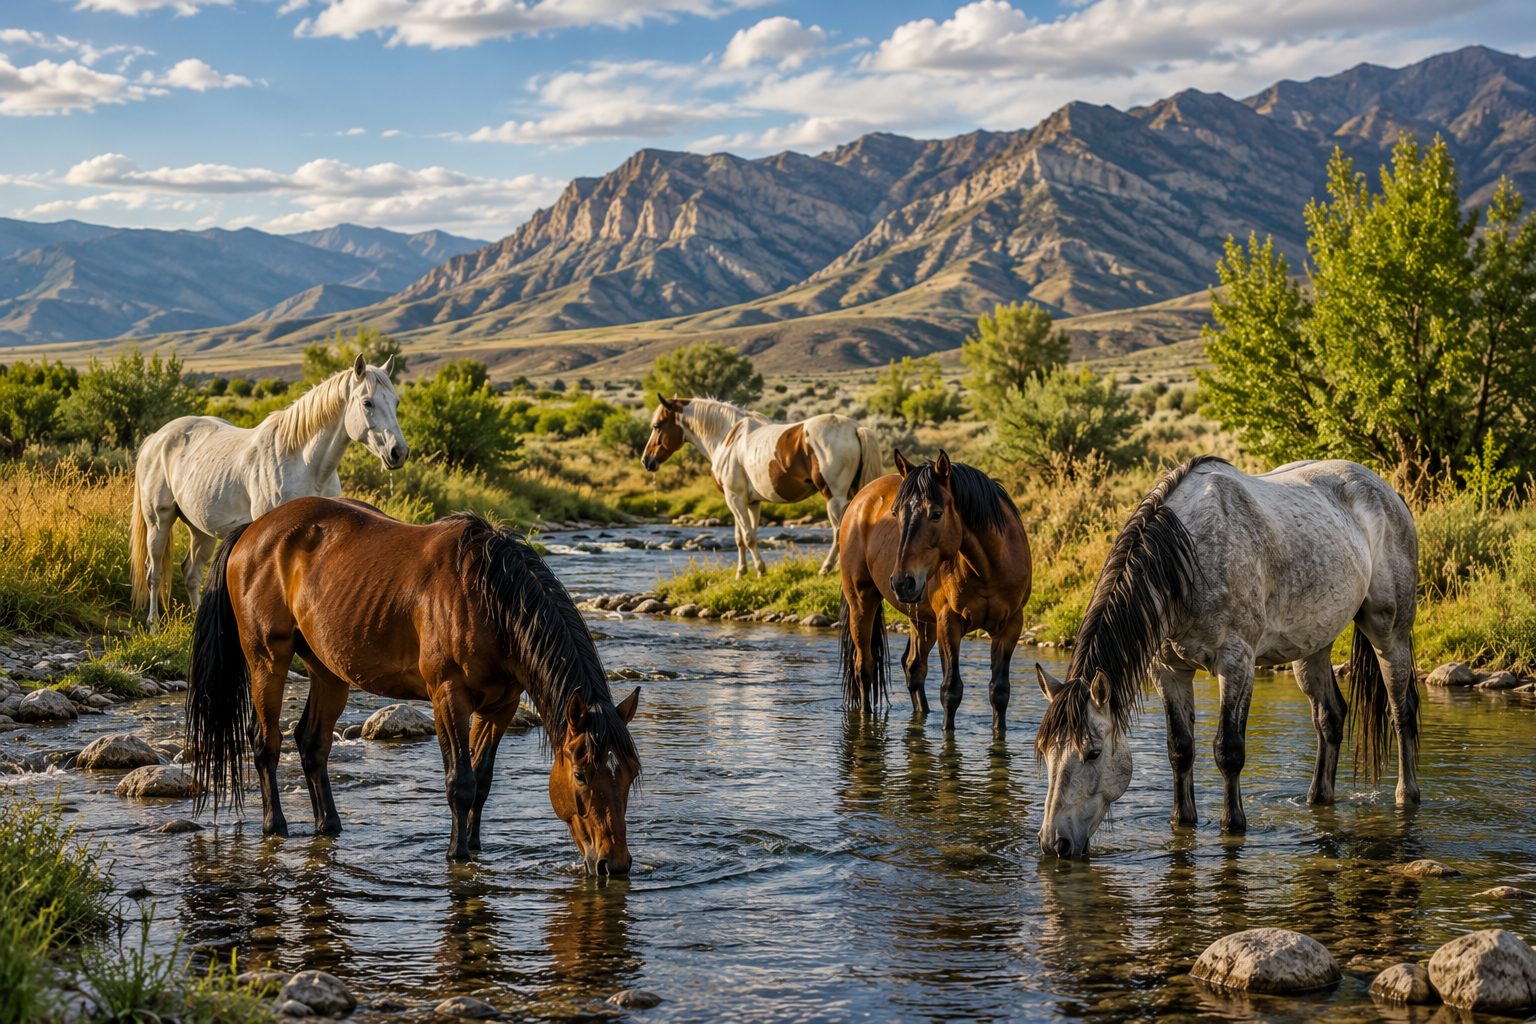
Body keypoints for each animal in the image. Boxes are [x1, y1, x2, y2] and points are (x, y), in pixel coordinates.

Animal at [131, 356, 409, 627]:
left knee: (191, 573)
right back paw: (153, 625)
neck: (303, 463)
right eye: (367, 402)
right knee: (154, 572)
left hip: (200, 529)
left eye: (396, 402)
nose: (399, 453)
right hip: (159, 522)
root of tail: (157, 437)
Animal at [185, 496, 643, 869]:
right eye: (581, 775)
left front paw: (476, 847)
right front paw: (457, 854)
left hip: (328, 671)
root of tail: (253, 529)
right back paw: (275, 826)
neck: (489, 597)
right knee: (266, 743)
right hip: (267, 660)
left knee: (312, 743)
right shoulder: (448, 696)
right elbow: (460, 782)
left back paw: (328, 825)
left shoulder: (502, 705)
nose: (614, 863)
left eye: (631, 773)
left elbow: (482, 782)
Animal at [641, 396, 883, 577]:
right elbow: (743, 537)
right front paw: (742, 572)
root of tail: (855, 428)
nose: (646, 460)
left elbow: (748, 537)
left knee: (839, 531)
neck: (728, 437)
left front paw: (760, 569)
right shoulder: (748, 501)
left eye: (657, 426)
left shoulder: (734, 498)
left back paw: (826, 569)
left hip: (834, 497)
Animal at [838, 450, 1033, 733]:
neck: (989, 569)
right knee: (865, 668)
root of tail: (859, 500)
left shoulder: (1010, 627)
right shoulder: (949, 624)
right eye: (895, 513)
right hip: (862, 604)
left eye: (937, 514)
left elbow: (999, 692)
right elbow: (951, 691)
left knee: (913, 668)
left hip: (921, 618)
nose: (901, 582)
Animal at [1033, 456, 1419, 857]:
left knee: (1400, 711)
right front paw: (1182, 821)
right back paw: (1317, 799)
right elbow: (1179, 748)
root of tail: (1389, 493)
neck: (1188, 560)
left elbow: (1228, 750)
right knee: (1330, 717)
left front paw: (1232, 825)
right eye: (1045, 752)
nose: (1053, 842)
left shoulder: (1236, 663)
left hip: (1388, 633)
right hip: (1312, 648)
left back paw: (1406, 795)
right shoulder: (1168, 671)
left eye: (1093, 753)